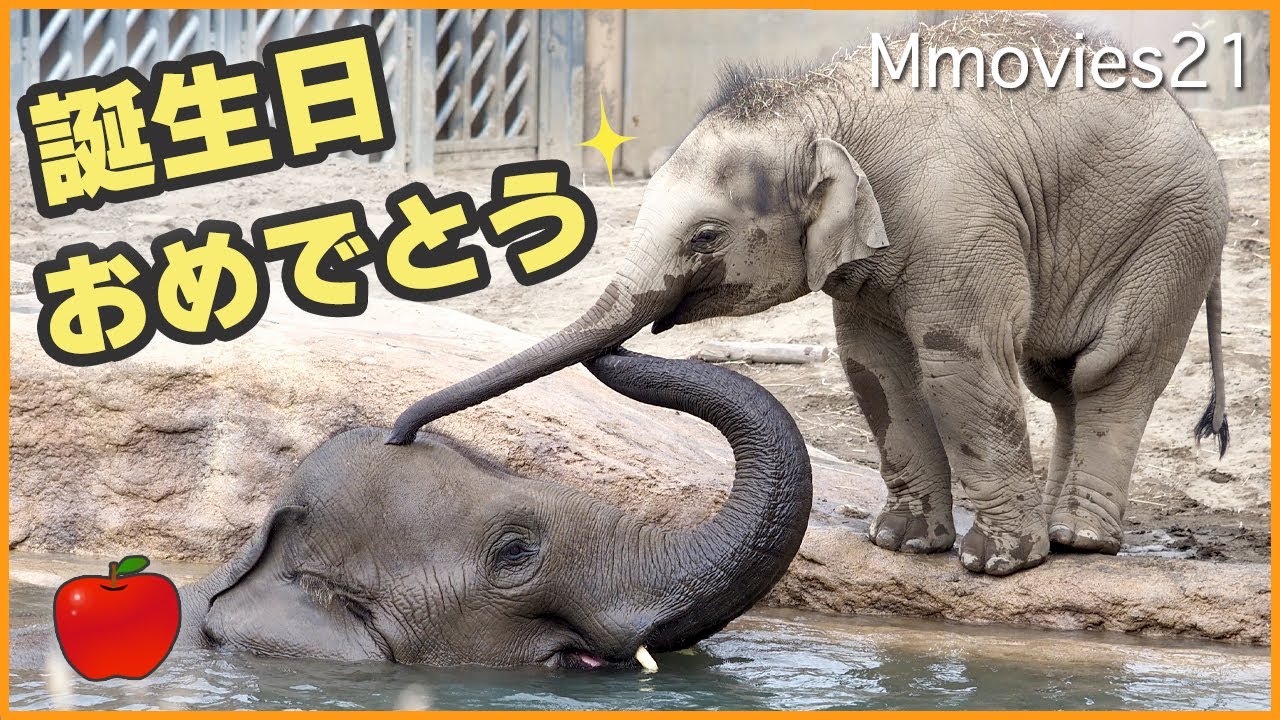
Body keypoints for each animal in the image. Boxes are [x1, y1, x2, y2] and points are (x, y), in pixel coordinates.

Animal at [384, 14, 1231, 576]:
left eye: (705, 238)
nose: (398, 437)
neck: (819, 104)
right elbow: (873, 366)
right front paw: (901, 544)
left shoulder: (954, 215)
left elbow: (955, 362)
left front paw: (995, 564)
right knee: (1057, 382)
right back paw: (1063, 537)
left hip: (1168, 237)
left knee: (1107, 371)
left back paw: (1079, 543)